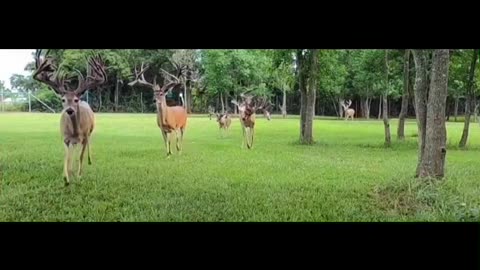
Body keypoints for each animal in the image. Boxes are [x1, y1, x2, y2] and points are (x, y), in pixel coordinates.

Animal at [33, 49, 109, 186]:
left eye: (75, 100)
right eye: (63, 99)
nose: (69, 110)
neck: (74, 131)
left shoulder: (84, 136)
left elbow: (80, 156)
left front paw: (78, 176)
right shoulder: (65, 137)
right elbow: (67, 157)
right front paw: (66, 177)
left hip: (90, 132)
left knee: (87, 147)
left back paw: (88, 161)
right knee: (72, 151)